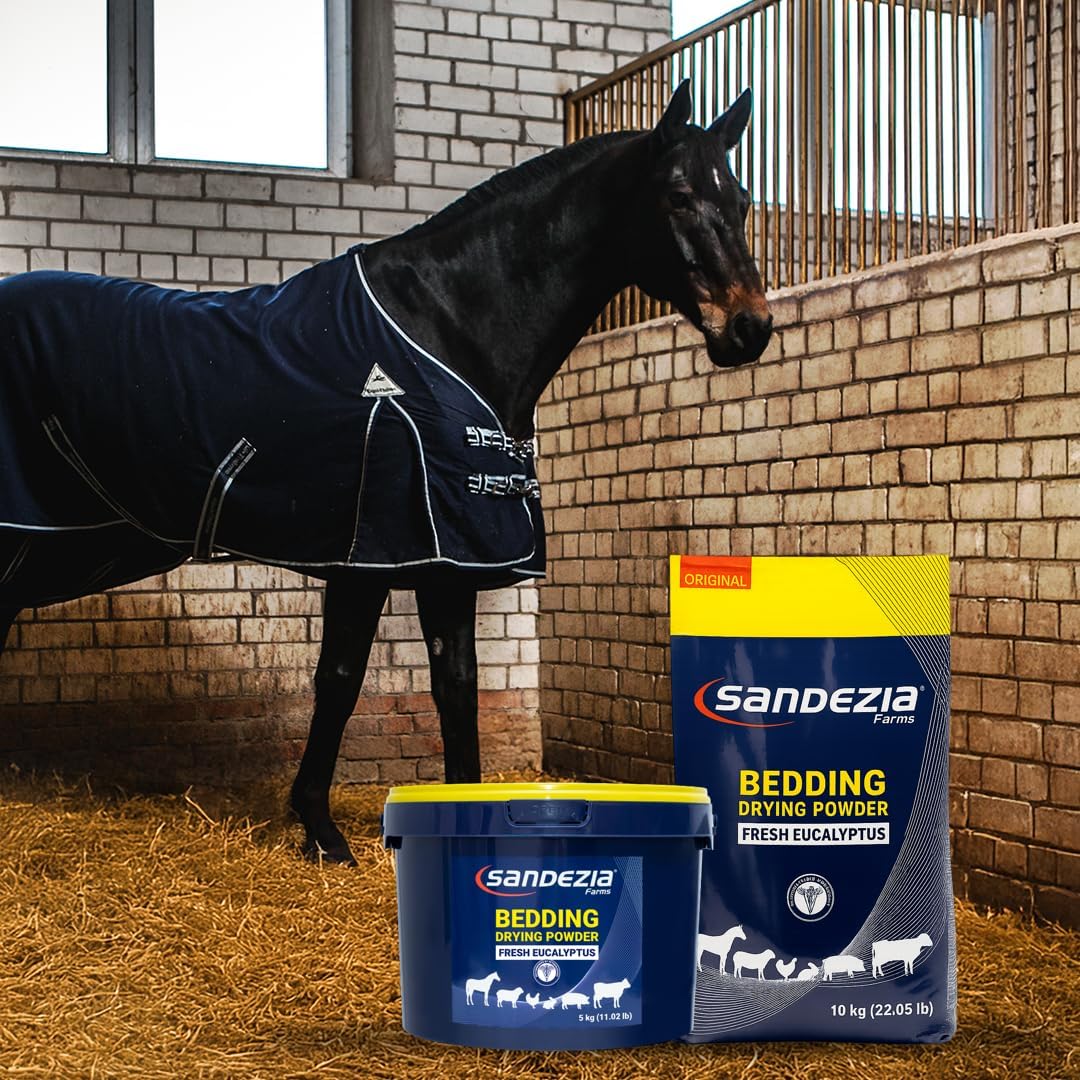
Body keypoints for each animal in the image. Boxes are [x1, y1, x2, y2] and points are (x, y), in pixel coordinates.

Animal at [0, 81, 772, 864]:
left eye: (740, 199)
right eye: (677, 196)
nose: (751, 328)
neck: (448, 330)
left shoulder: (423, 561)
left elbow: (427, 682)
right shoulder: (393, 554)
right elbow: (368, 684)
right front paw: (336, 831)